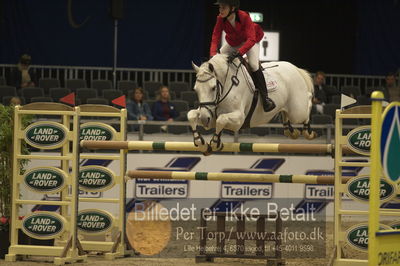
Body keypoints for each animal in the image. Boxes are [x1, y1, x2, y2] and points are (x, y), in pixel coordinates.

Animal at [187, 54, 316, 154]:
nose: (204, 119)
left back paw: (308, 132)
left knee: (308, 101)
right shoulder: (210, 114)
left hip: (297, 111)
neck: (226, 85)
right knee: (286, 113)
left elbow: (221, 119)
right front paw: (201, 143)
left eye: (213, 88)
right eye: (195, 89)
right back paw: (291, 131)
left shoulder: (239, 120)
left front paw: (214, 143)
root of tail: (295, 68)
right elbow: (191, 115)